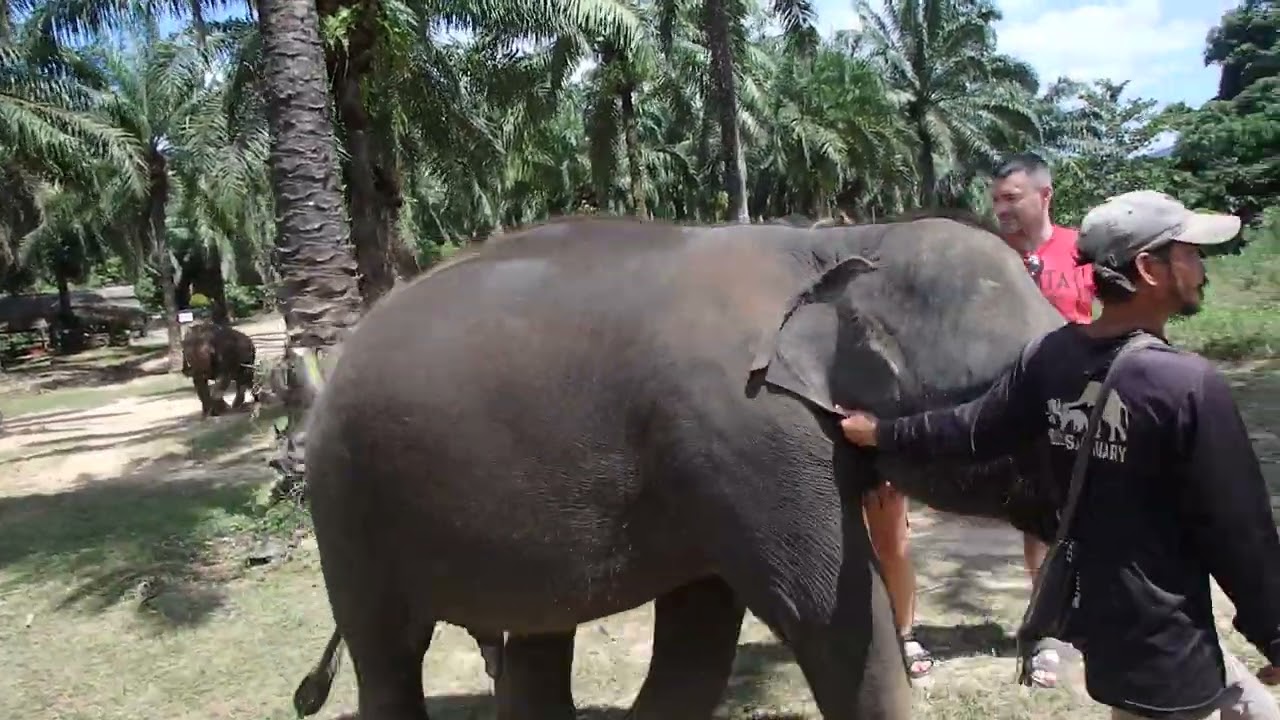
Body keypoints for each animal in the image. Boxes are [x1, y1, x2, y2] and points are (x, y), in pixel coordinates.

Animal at [291, 212, 1066, 720]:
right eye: (1013, 399)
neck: (839, 244)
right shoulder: (746, 428)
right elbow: (825, 613)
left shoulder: (715, 458)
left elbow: (702, 634)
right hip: (345, 500)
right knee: (388, 653)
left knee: (538, 639)